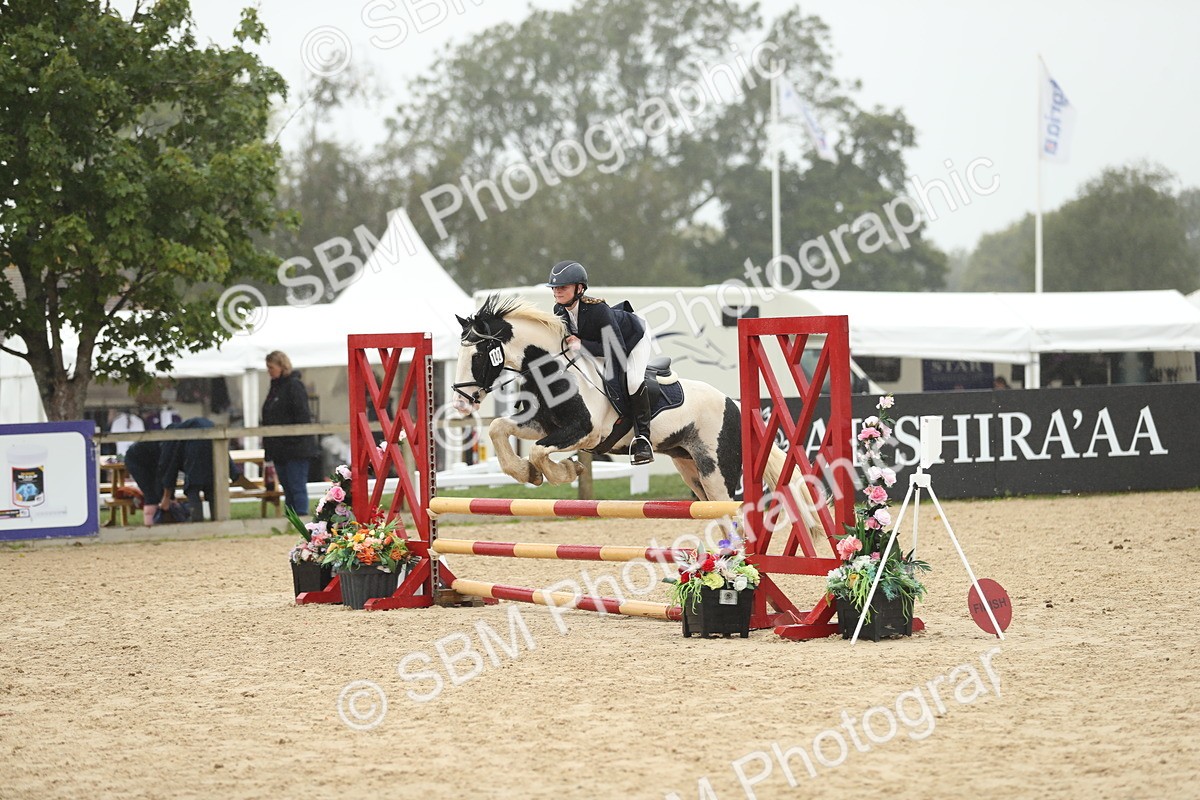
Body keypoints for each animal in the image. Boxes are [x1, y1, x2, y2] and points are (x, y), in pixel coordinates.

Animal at [451, 295, 822, 528]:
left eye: (479, 354)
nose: (461, 401)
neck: (554, 370)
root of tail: (735, 404)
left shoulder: (584, 431)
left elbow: (541, 453)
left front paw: (565, 472)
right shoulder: (541, 425)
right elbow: (499, 428)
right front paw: (526, 473)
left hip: (718, 472)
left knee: (732, 515)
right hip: (691, 468)